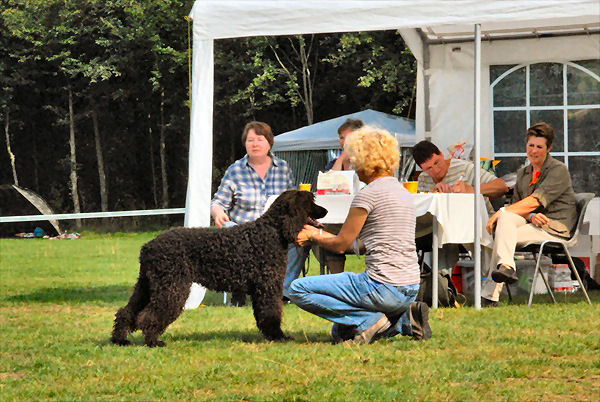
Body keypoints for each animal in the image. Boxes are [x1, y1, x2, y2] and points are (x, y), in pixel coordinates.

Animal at [112, 190, 328, 348]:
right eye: (311, 201)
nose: (325, 210)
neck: (272, 231)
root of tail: (148, 247)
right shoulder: (268, 286)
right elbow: (272, 313)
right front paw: (278, 336)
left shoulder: (262, 289)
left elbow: (264, 315)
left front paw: (271, 335)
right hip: (172, 286)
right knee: (149, 315)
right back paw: (153, 341)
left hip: (147, 285)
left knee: (127, 312)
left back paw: (120, 340)